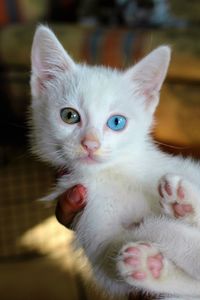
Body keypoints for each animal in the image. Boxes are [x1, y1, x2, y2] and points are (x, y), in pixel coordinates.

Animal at [30, 26, 200, 300]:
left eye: (116, 122)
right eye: (69, 116)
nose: (90, 144)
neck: (116, 173)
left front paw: (179, 209)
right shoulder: (95, 230)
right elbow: (113, 259)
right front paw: (156, 241)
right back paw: (148, 264)